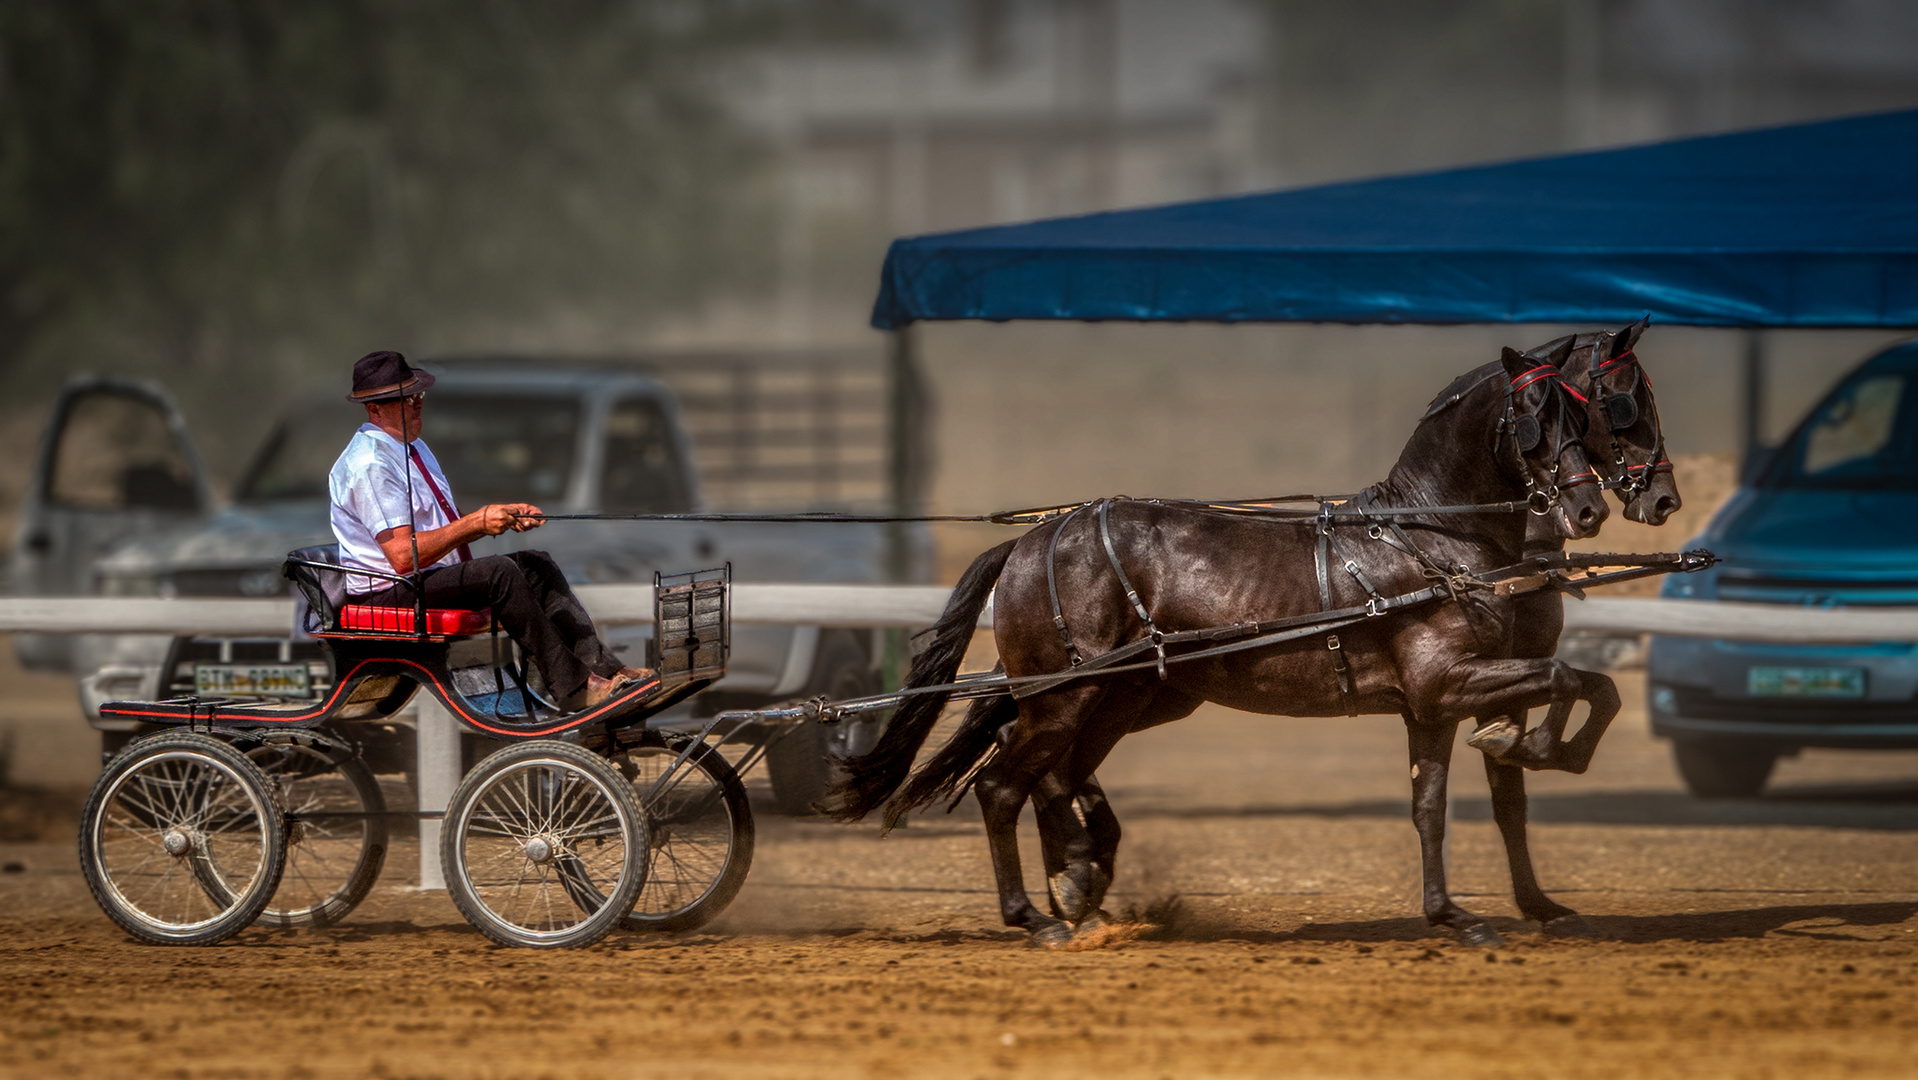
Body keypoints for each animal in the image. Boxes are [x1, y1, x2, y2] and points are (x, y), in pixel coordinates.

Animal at [832, 347, 1611, 947]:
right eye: (1535, 417)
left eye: (1584, 416)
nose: (1589, 507)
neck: (1425, 538)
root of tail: (1032, 539)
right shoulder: (1446, 681)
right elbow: (1564, 677)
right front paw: (1540, 748)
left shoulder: (1432, 703)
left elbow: (1439, 799)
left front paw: (1463, 909)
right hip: (1064, 697)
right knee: (1002, 786)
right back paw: (1039, 916)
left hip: (1120, 698)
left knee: (1053, 776)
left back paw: (1079, 886)